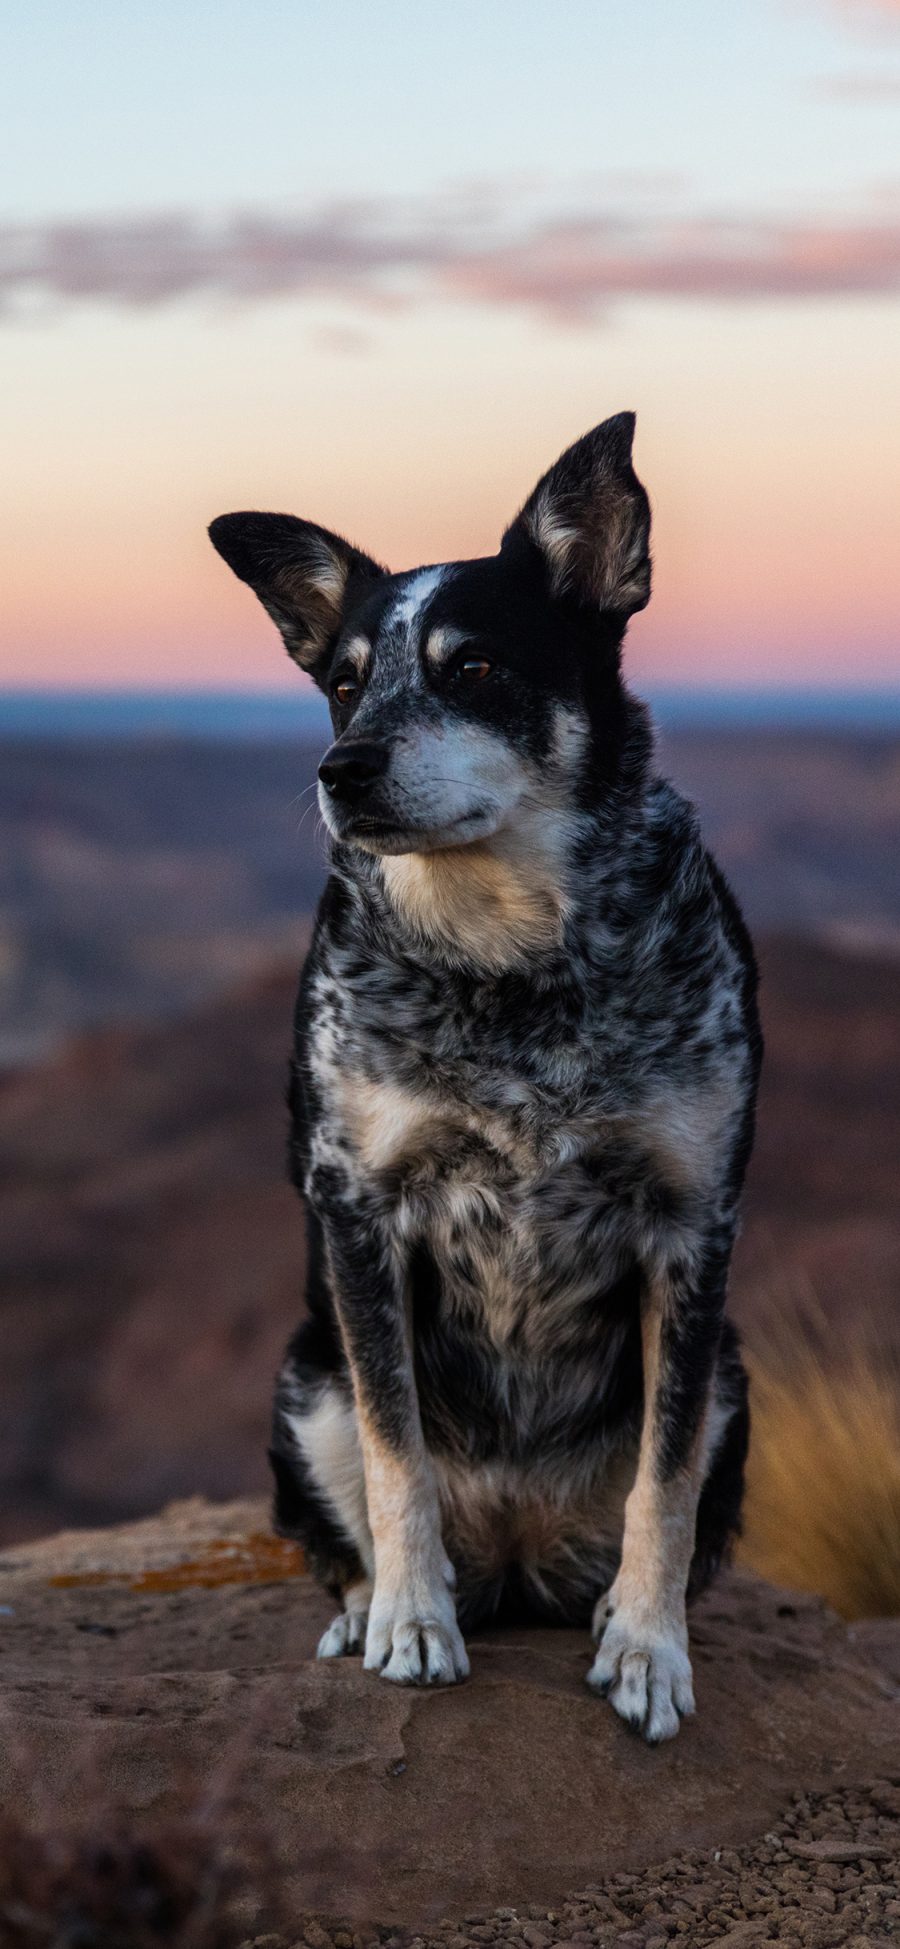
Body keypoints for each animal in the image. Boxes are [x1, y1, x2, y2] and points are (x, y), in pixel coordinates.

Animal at [209, 407, 759, 1738]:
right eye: (343, 682)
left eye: (470, 668)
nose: (342, 769)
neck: (509, 959)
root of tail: (516, 1551)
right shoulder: (361, 1206)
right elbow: (396, 1447)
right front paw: (412, 1620)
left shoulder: (691, 1224)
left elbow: (665, 1480)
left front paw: (650, 1649)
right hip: (303, 1373)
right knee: (349, 1505)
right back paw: (374, 1604)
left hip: (732, 1370)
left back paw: (606, 1609)